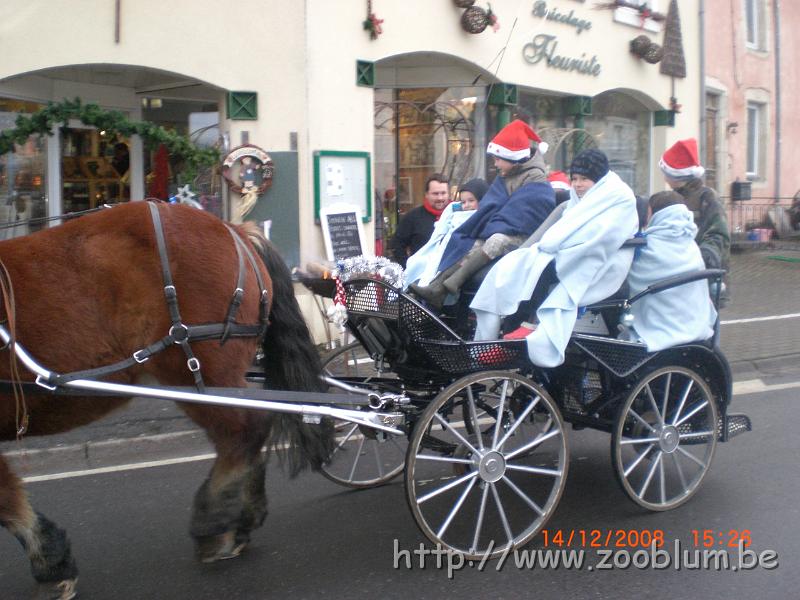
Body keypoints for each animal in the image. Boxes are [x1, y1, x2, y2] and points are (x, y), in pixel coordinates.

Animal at [0, 203, 332, 600]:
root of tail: (233, 229)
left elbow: (6, 500)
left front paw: (51, 567)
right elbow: (8, 496)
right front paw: (53, 563)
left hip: (197, 373)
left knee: (244, 431)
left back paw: (212, 524)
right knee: (250, 429)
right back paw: (241, 520)